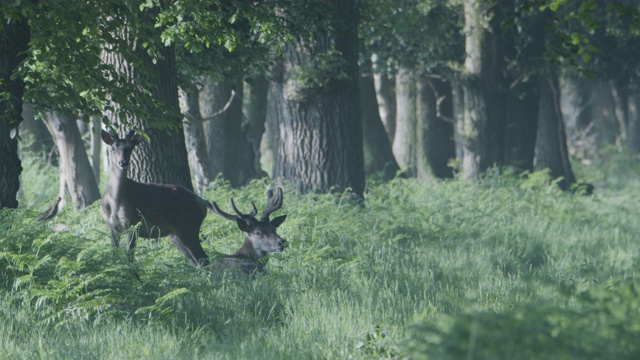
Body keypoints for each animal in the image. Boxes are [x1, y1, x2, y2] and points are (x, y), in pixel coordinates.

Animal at [99, 129, 211, 268]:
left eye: (130, 147)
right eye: (113, 147)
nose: (123, 162)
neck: (115, 205)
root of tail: (202, 204)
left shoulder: (134, 223)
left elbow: (130, 258)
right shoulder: (111, 227)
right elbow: (113, 257)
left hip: (188, 227)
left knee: (204, 259)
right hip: (175, 235)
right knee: (197, 262)